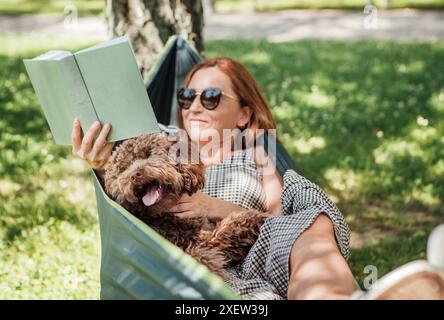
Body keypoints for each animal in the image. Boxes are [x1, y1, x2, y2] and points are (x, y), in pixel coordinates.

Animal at [104, 131, 270, 278]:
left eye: (148, 153)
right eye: (124, 168)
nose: (134, 175)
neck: (166, 215)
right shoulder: (200, 244)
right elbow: (220, 237)